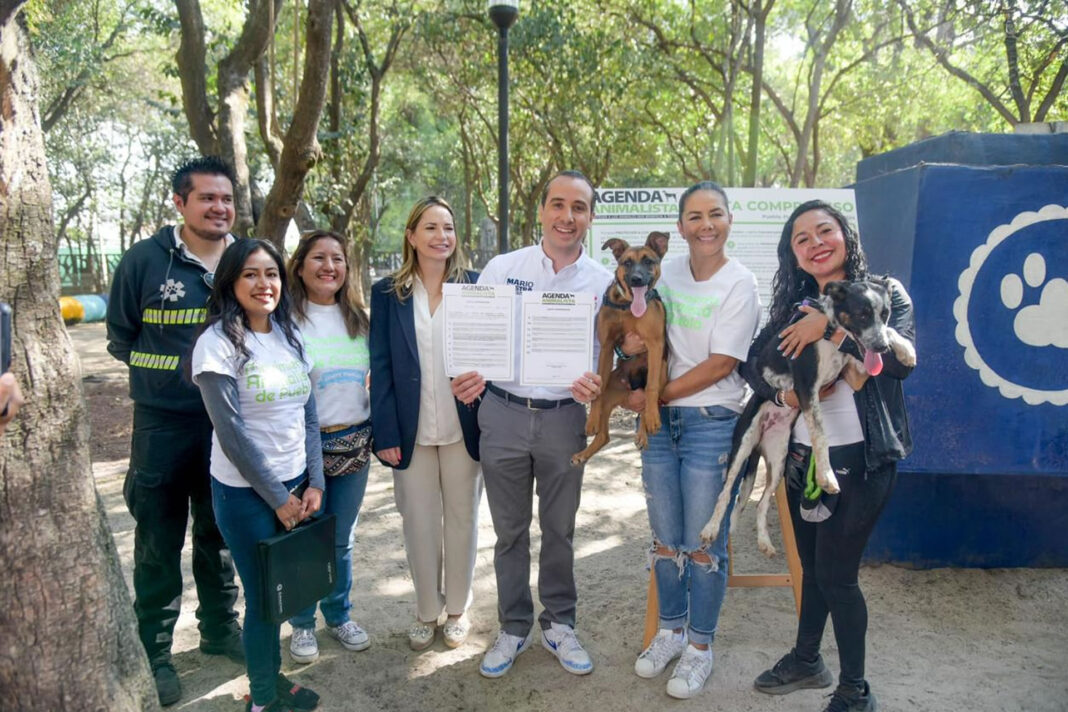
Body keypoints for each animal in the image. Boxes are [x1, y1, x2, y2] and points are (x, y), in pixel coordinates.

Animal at [570, 232, 670, 466]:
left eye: (648, 261)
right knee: (604, 436)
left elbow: (651, 388)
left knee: (647, 405)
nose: (637, 279)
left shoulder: (655, 345)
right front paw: (591, 421)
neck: (628, 307)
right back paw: (583, 454)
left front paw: (652, 420)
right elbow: (595, 391)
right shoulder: (607, 346)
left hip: (663, 372)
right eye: (627, 263)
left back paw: (645, 430)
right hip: (611, 391)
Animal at [699, 278, 917, 556]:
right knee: (725, 494)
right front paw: (826, 476)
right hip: (742, 447)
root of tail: (759, 442)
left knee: (760, 503)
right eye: (862, 314)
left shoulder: (856, 371)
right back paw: (710, 529)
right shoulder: (806, 389)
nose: (881, 348)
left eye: (885, 314)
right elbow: (821, 436)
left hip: (778, 459)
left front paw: (906, 350)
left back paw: (765, 542)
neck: (829, 336)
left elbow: (886, 335)